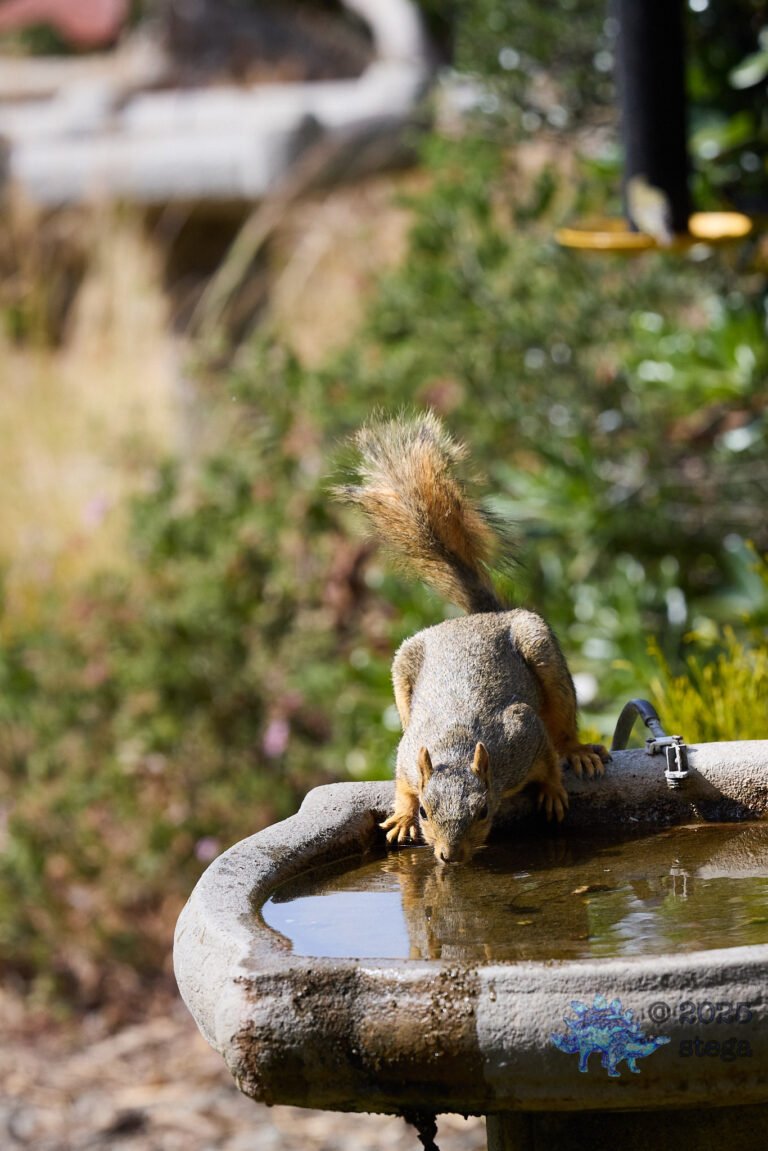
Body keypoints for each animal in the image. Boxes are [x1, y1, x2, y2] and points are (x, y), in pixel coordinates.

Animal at [336, 412, 609, 864]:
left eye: (483, 811)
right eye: (427, 812)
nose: (450, 855)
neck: (457, 747)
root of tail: (482, 618)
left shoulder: (522, 733)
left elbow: (547, 758)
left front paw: (553, 790)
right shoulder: (408, 751)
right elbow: (402, 781)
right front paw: (401, 816)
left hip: (542, 651)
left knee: (563, 724)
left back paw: (578, 751)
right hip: (403, 668)